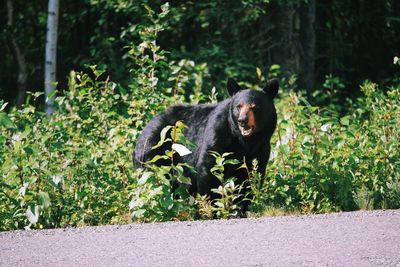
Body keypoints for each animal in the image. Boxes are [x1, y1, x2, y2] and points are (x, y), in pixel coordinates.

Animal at [134, 78, 278, 210]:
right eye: (239, 106)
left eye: (255, 107)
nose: (242, 120)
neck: (245, 140)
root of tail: (145, 128)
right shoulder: (217, 133)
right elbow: (208, 168)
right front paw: (213, 209)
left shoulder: (261, 147)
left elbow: (251, 175)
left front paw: (242, 208)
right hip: (153, 152)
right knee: (152, 180)